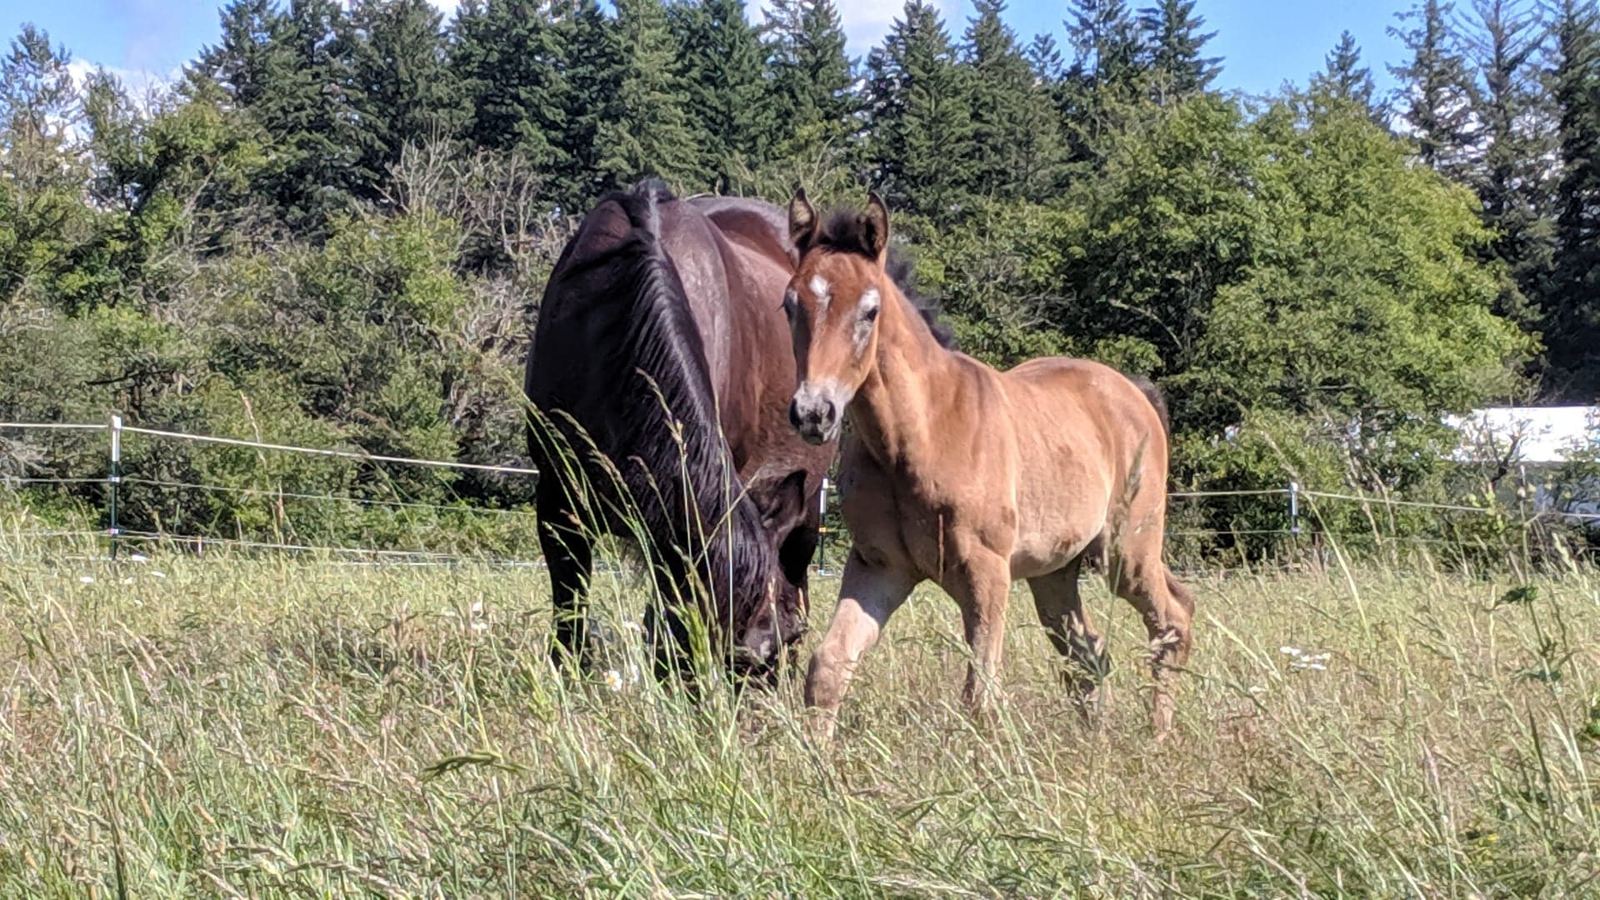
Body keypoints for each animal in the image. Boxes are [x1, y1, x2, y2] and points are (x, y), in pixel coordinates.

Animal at [779, 190, 1195, 738]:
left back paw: (1158, 733)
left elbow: (980, 690)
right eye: (790, 304)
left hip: (1125, 552)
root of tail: (1134, 393)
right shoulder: (880, 566)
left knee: (1172, 618)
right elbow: (828, 667)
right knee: (1088, 654)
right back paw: (1097, 736)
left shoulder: (986, 571)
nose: (813, 412)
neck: (922, 435)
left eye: (870, 311)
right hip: (1055, 570)